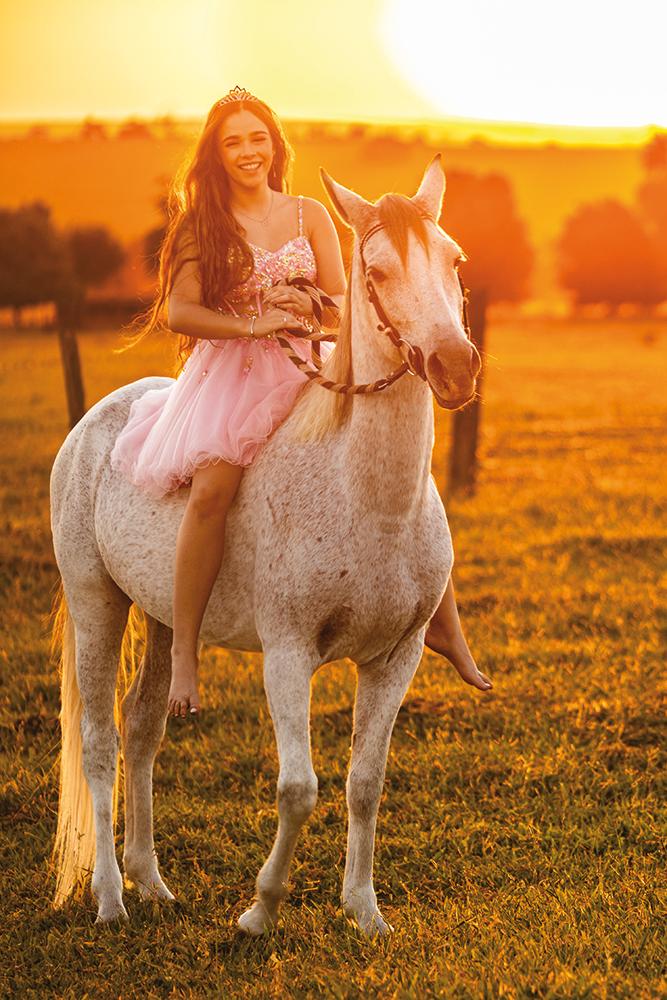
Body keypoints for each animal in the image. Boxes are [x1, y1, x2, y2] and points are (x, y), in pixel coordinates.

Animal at [51, 152, 480, 932]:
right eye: (376, 272)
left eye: (454, 259)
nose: (454, 366)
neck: (365, 500)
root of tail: (96, 418)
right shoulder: (288, 654)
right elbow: (298, 788)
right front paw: (260, 910)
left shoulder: (395, 659)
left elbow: (365, 783)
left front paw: (364, 912)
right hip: (97, 602)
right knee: (98, 743)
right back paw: (109, 899)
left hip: (163, 618)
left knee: (141, 729)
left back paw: (151, 880)